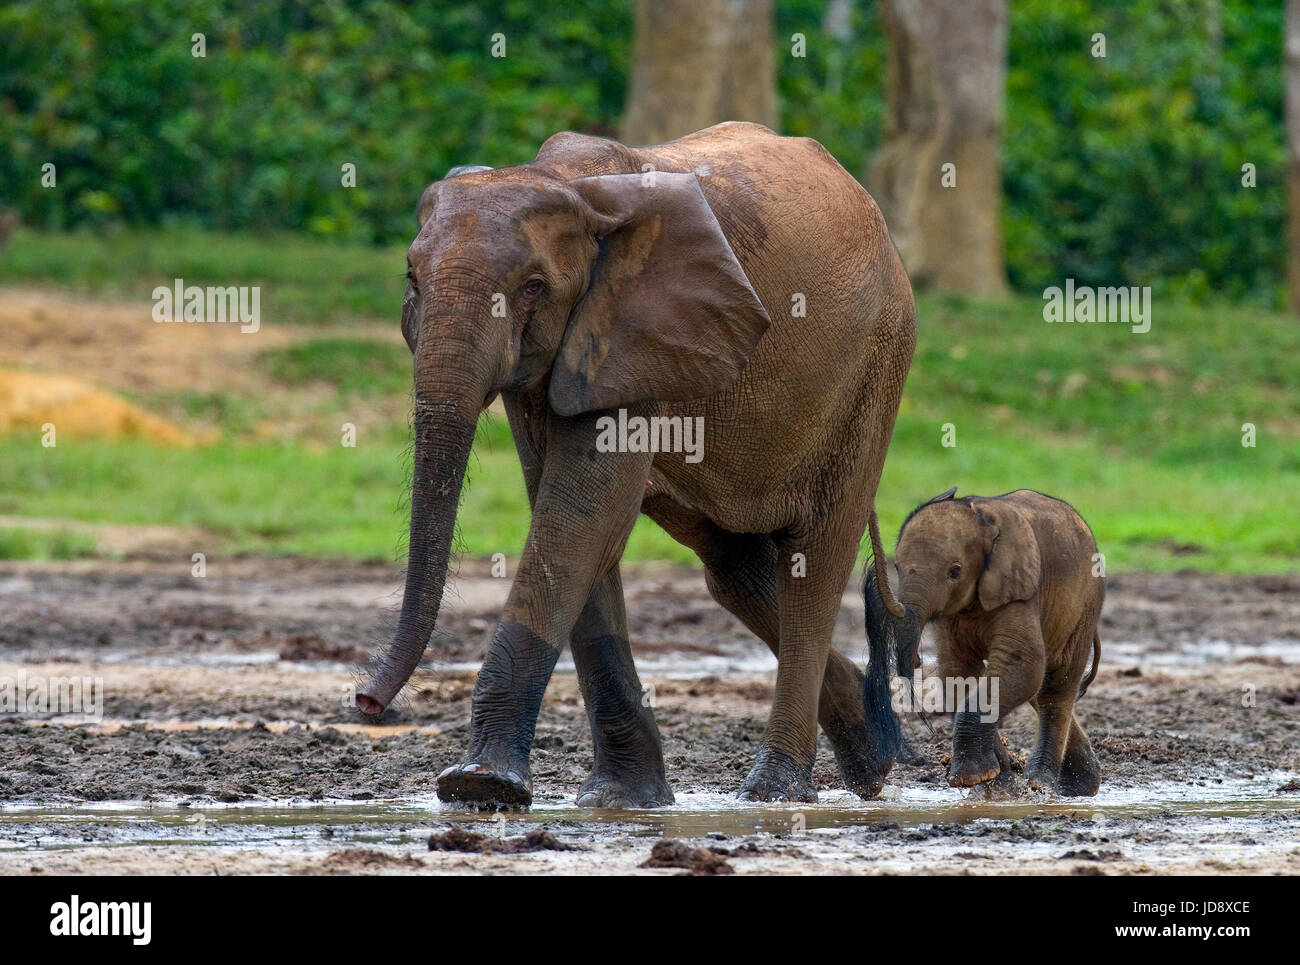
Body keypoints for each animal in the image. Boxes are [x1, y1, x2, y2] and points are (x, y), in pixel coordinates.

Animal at [356, 121, 918, 807]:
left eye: (533, 288)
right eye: (411, 279)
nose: (367, 701)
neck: (568, 187)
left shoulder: (642, 328)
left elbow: (580, 514)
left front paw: (480, 785)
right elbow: (567, 514)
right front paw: (623, 800)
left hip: (875, 363)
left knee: (815, 560)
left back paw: (776, 790)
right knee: (734, 569)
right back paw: (874, 761)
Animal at [864, 487, 1104, 796]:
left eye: (954, 571)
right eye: (896, 566)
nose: (916, 660)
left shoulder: (1020, 589)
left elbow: (1022, 663)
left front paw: (974, 779)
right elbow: (958, 671)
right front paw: (996, 785)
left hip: (1086, 602)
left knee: (1056, 685)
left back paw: (1042, 785)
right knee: (1040, 689)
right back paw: (1079, 785)